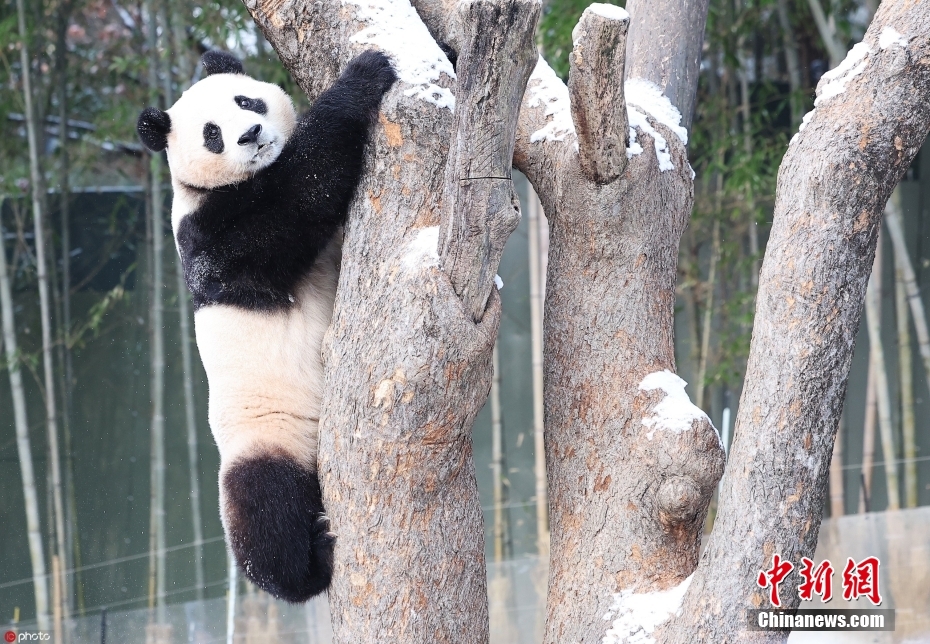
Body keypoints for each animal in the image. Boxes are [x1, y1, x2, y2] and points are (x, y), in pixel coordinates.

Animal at [136, 49, 397, 602]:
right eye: (212, 134)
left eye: (247, 101)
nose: (252, 134)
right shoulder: (206, 237)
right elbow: (291, 208)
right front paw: (363, 75)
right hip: (266, 438)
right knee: (266, 510)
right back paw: (308, 565)